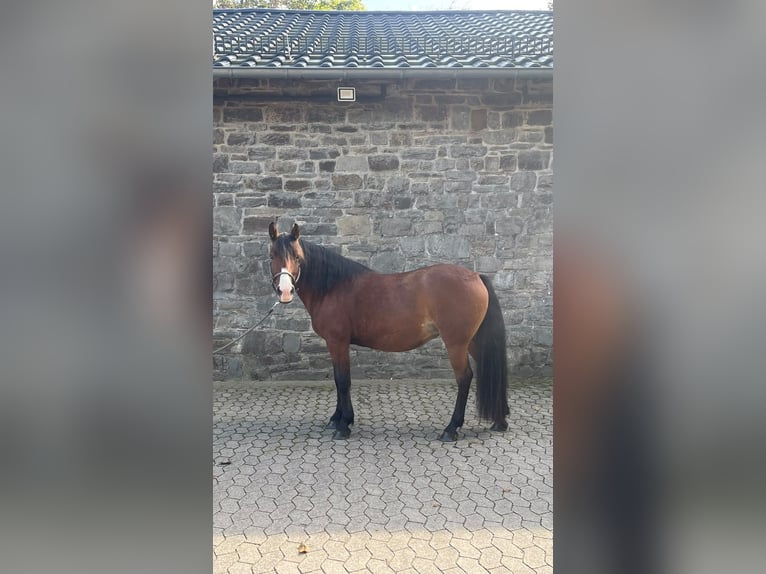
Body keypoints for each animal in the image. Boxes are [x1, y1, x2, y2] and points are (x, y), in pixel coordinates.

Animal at [268, 221, 509, 441]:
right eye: (271, 255)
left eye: (297, 257)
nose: (285, 291)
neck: (333, 287)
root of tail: (476, 276)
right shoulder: (335, 344)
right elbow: (338, 380)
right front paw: (336, 419)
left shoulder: (338, 342)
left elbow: (343, 381)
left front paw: (344, 425)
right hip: (474, 341)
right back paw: (500, 421)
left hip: (456, 344)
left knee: (464, 377)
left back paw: (451, 429)